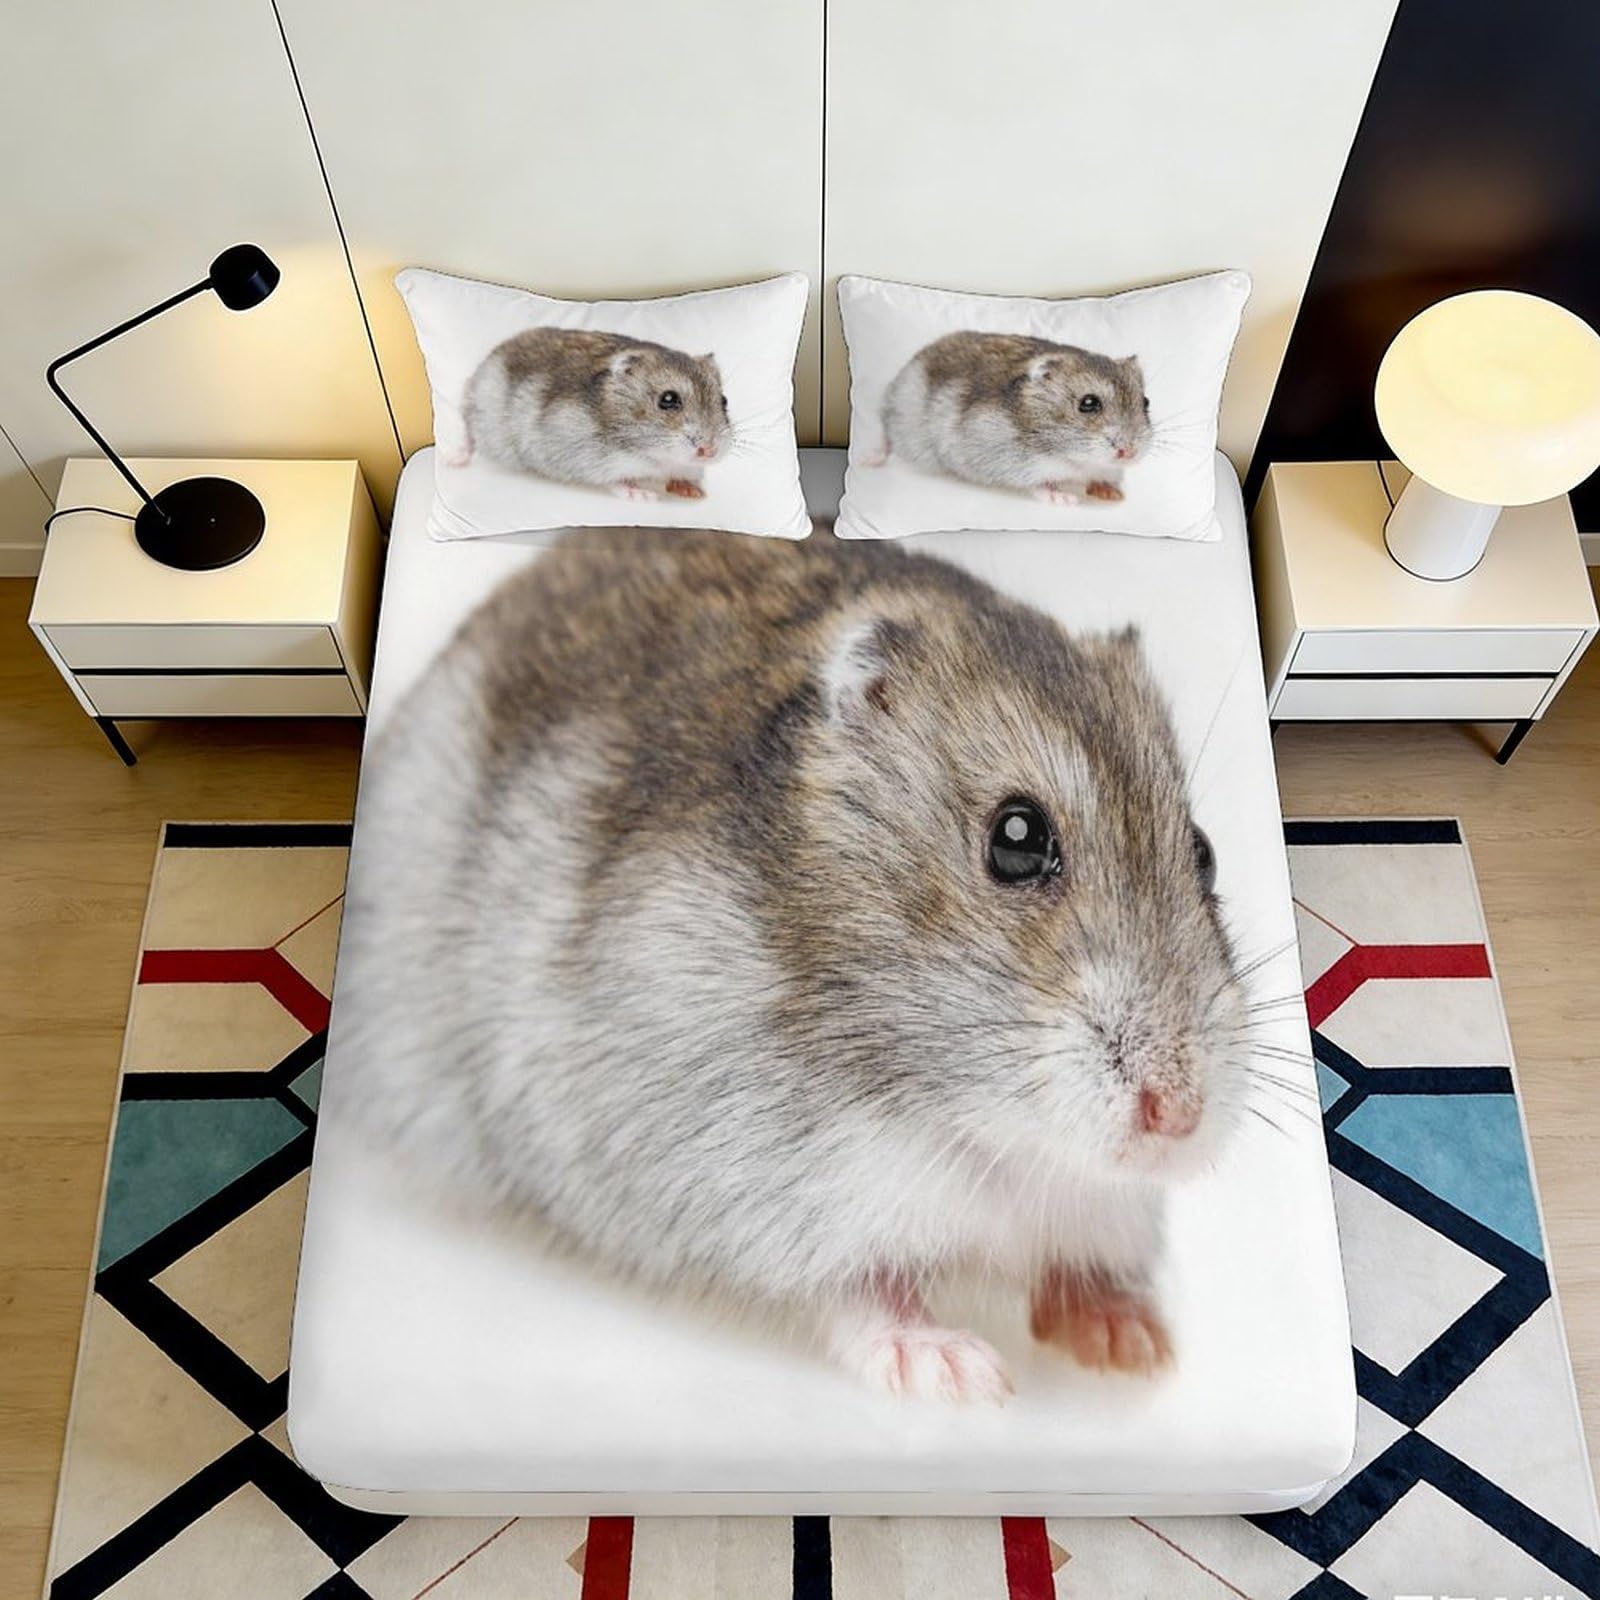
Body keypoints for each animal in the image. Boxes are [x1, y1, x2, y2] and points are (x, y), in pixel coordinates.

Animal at [330, 529, 1251, 1402]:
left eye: (1204, 852)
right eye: (1017, 840)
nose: (1179, 1117)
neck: (980, 1128)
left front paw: (1138, 1348)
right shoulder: (770, 1192)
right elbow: (861, 1289)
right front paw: (958, 1374)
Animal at [455, 328, 732, 500]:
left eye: (724, 400)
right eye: (668, 400)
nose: (709, 450)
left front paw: (693, 492)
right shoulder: (584, 459)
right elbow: (613, 482)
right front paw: (642, 495)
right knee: (467, 429)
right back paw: (455, 460)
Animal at [873, 332, 1152, 504]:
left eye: (1146, 403)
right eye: (1089, 403)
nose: (1129, 452)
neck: (1074, 460)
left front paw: (1112, 494)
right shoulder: (1007, 461)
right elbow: (1036, 484)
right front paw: (1064, 498)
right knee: (886, 435)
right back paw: (871, 460)